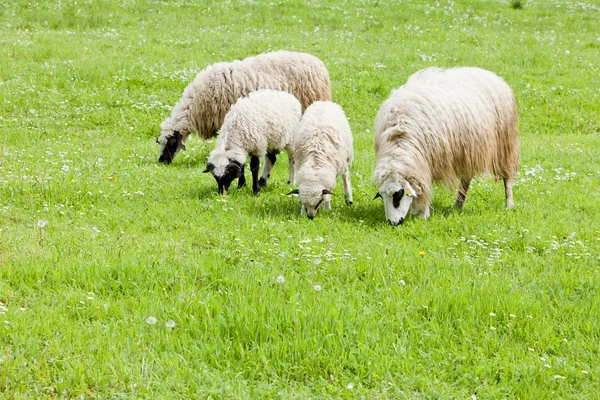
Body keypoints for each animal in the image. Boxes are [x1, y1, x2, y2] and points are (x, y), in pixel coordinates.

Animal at [372, 67, 516, 227]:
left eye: (398, 195)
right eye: (382, 196)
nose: (393, 222)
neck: (399, 138)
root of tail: (491, 74)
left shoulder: (429, 159)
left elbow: (425, 186)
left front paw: (423, 214)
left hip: (504, 143)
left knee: (507, 177)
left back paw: (509, 204)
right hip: (468, 151)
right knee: (466, 179)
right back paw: (458, 204)